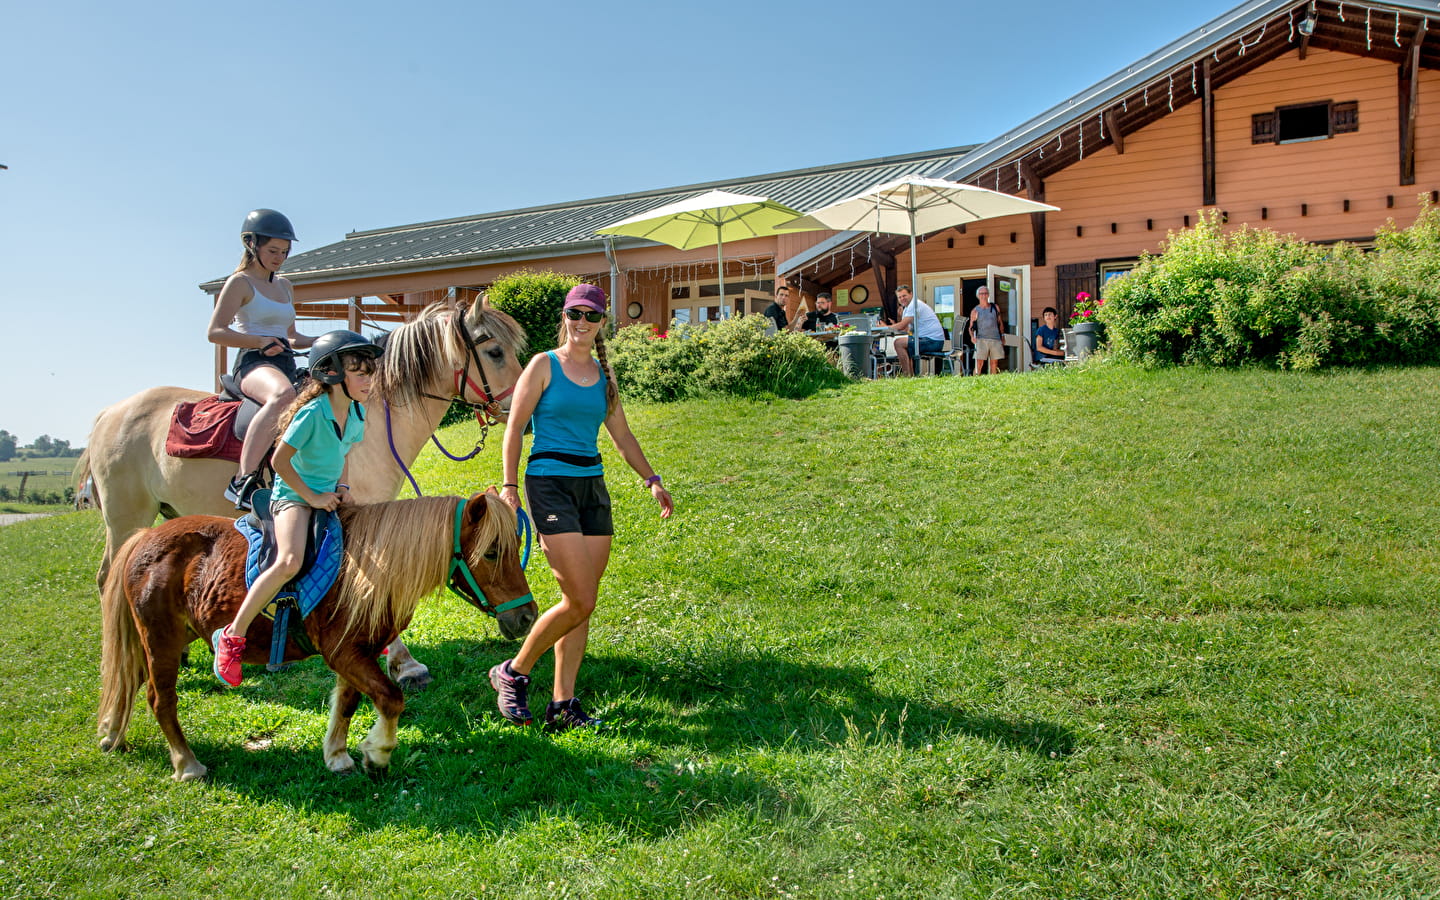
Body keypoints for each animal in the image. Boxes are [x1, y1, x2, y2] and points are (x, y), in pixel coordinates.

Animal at [75, 302, 527, 688]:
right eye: (494, 351)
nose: (521, 405)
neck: (372, 424)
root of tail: (109, 413)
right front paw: (406, 666)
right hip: (125, 517)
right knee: (106, 577)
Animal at [97, 492, 535, 777]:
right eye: (491, 552)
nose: (527, 616)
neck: (365, 570)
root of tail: (143, 537)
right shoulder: (343, 652)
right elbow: (391, 699)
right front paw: (377, 754)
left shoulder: (359, 653)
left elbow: (348, 703)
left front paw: (338, 756)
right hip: (162, 642)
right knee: (160, 699)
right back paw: (187, 764)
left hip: (164, 640)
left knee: (130, 678)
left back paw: (112, 734)